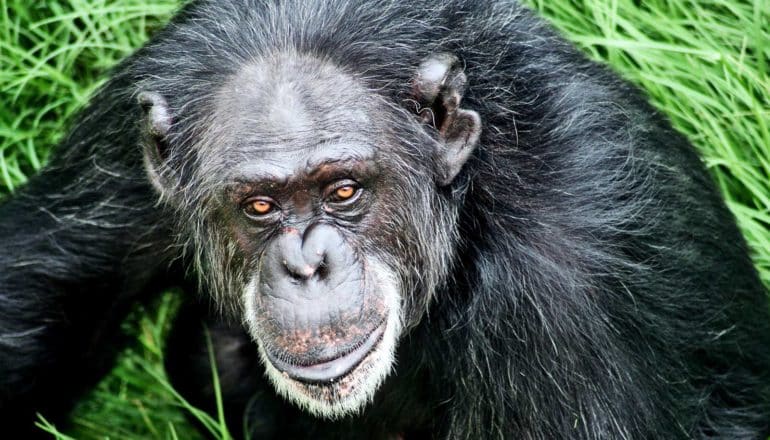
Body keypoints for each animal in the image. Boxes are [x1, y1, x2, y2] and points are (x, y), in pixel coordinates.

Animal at [1, 0, 768, 438]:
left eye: (343, 191)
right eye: (259, 206)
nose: (308, 263)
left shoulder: (578, 296)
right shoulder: (125, 138)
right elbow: (44, 292)